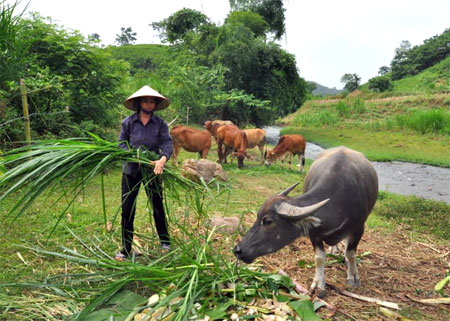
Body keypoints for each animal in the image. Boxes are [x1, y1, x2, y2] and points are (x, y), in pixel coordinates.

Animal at [234, 146, 378, 296]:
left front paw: (353, 277)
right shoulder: (314, 233)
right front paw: (318, 284)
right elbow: (319, 258)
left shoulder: (359, 228)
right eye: (257, 216)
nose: (237, 250)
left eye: (268, 221)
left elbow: (351, 254)